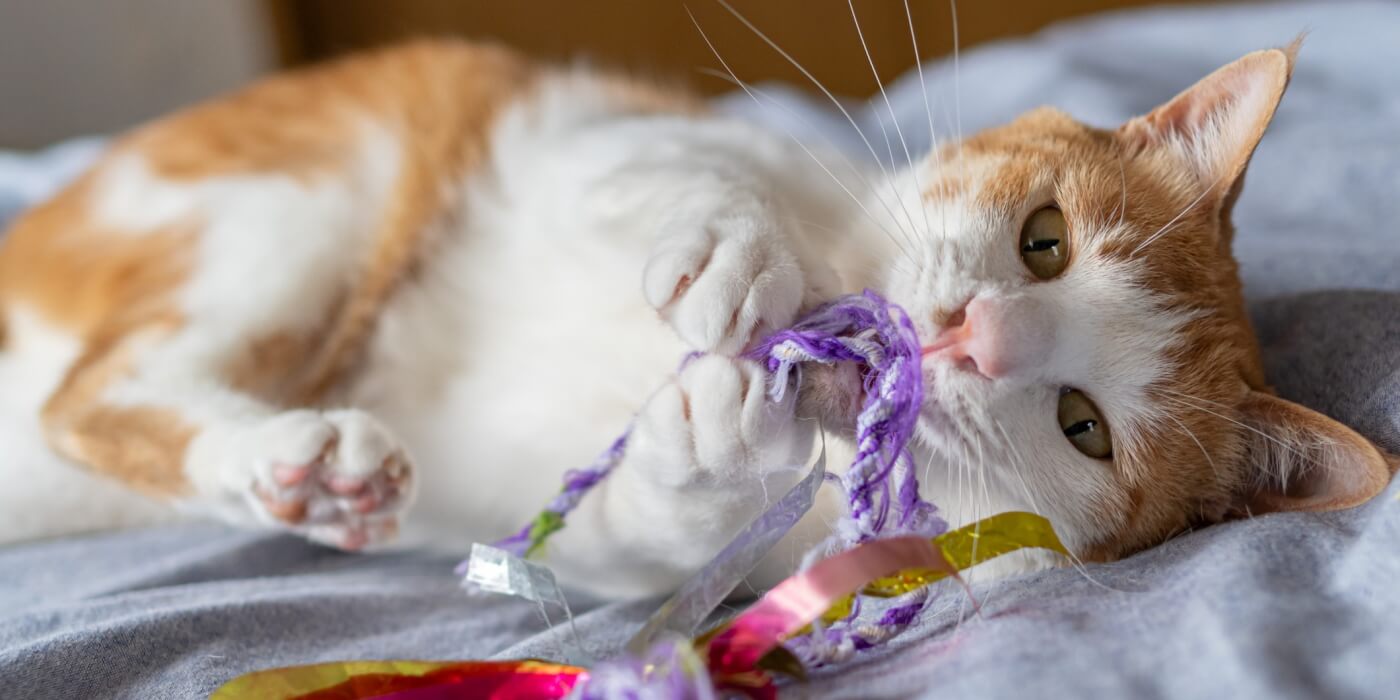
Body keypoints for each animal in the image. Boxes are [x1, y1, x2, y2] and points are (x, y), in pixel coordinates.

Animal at [0, 38, 1388, 596]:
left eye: (1082, 426)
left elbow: (635, 531)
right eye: (1044, 239)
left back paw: (305, 470)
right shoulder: (602, 139)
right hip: (294, 205)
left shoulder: (611, 548)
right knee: (96, 392)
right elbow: (692, 179)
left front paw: (712, 446)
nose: (967, 335)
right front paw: (735, 256)